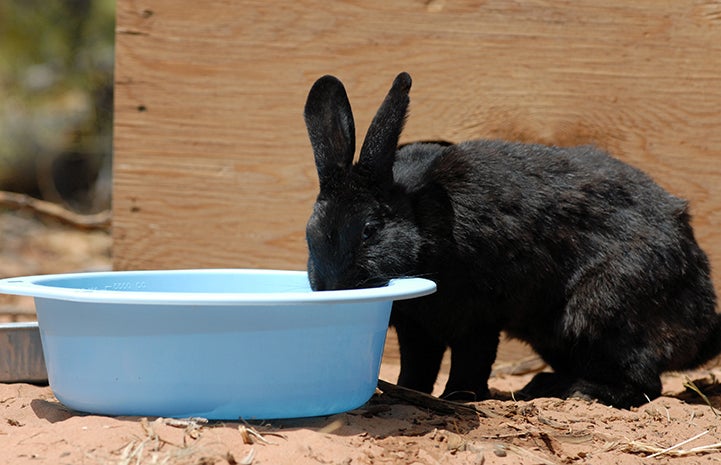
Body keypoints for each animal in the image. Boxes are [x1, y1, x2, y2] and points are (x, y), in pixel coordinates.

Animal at [300, 71, 716, 406]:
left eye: (370, 229)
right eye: (311, 232)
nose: (333, 287)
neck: (420, 221)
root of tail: (702, 319)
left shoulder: (478, 317)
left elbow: (470, 363)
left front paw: (459, 399)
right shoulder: (417, 328)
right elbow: (418, 369)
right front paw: (407, 393)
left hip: (600, 310)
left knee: (645, 383)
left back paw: (576, 392)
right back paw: (545, 385)